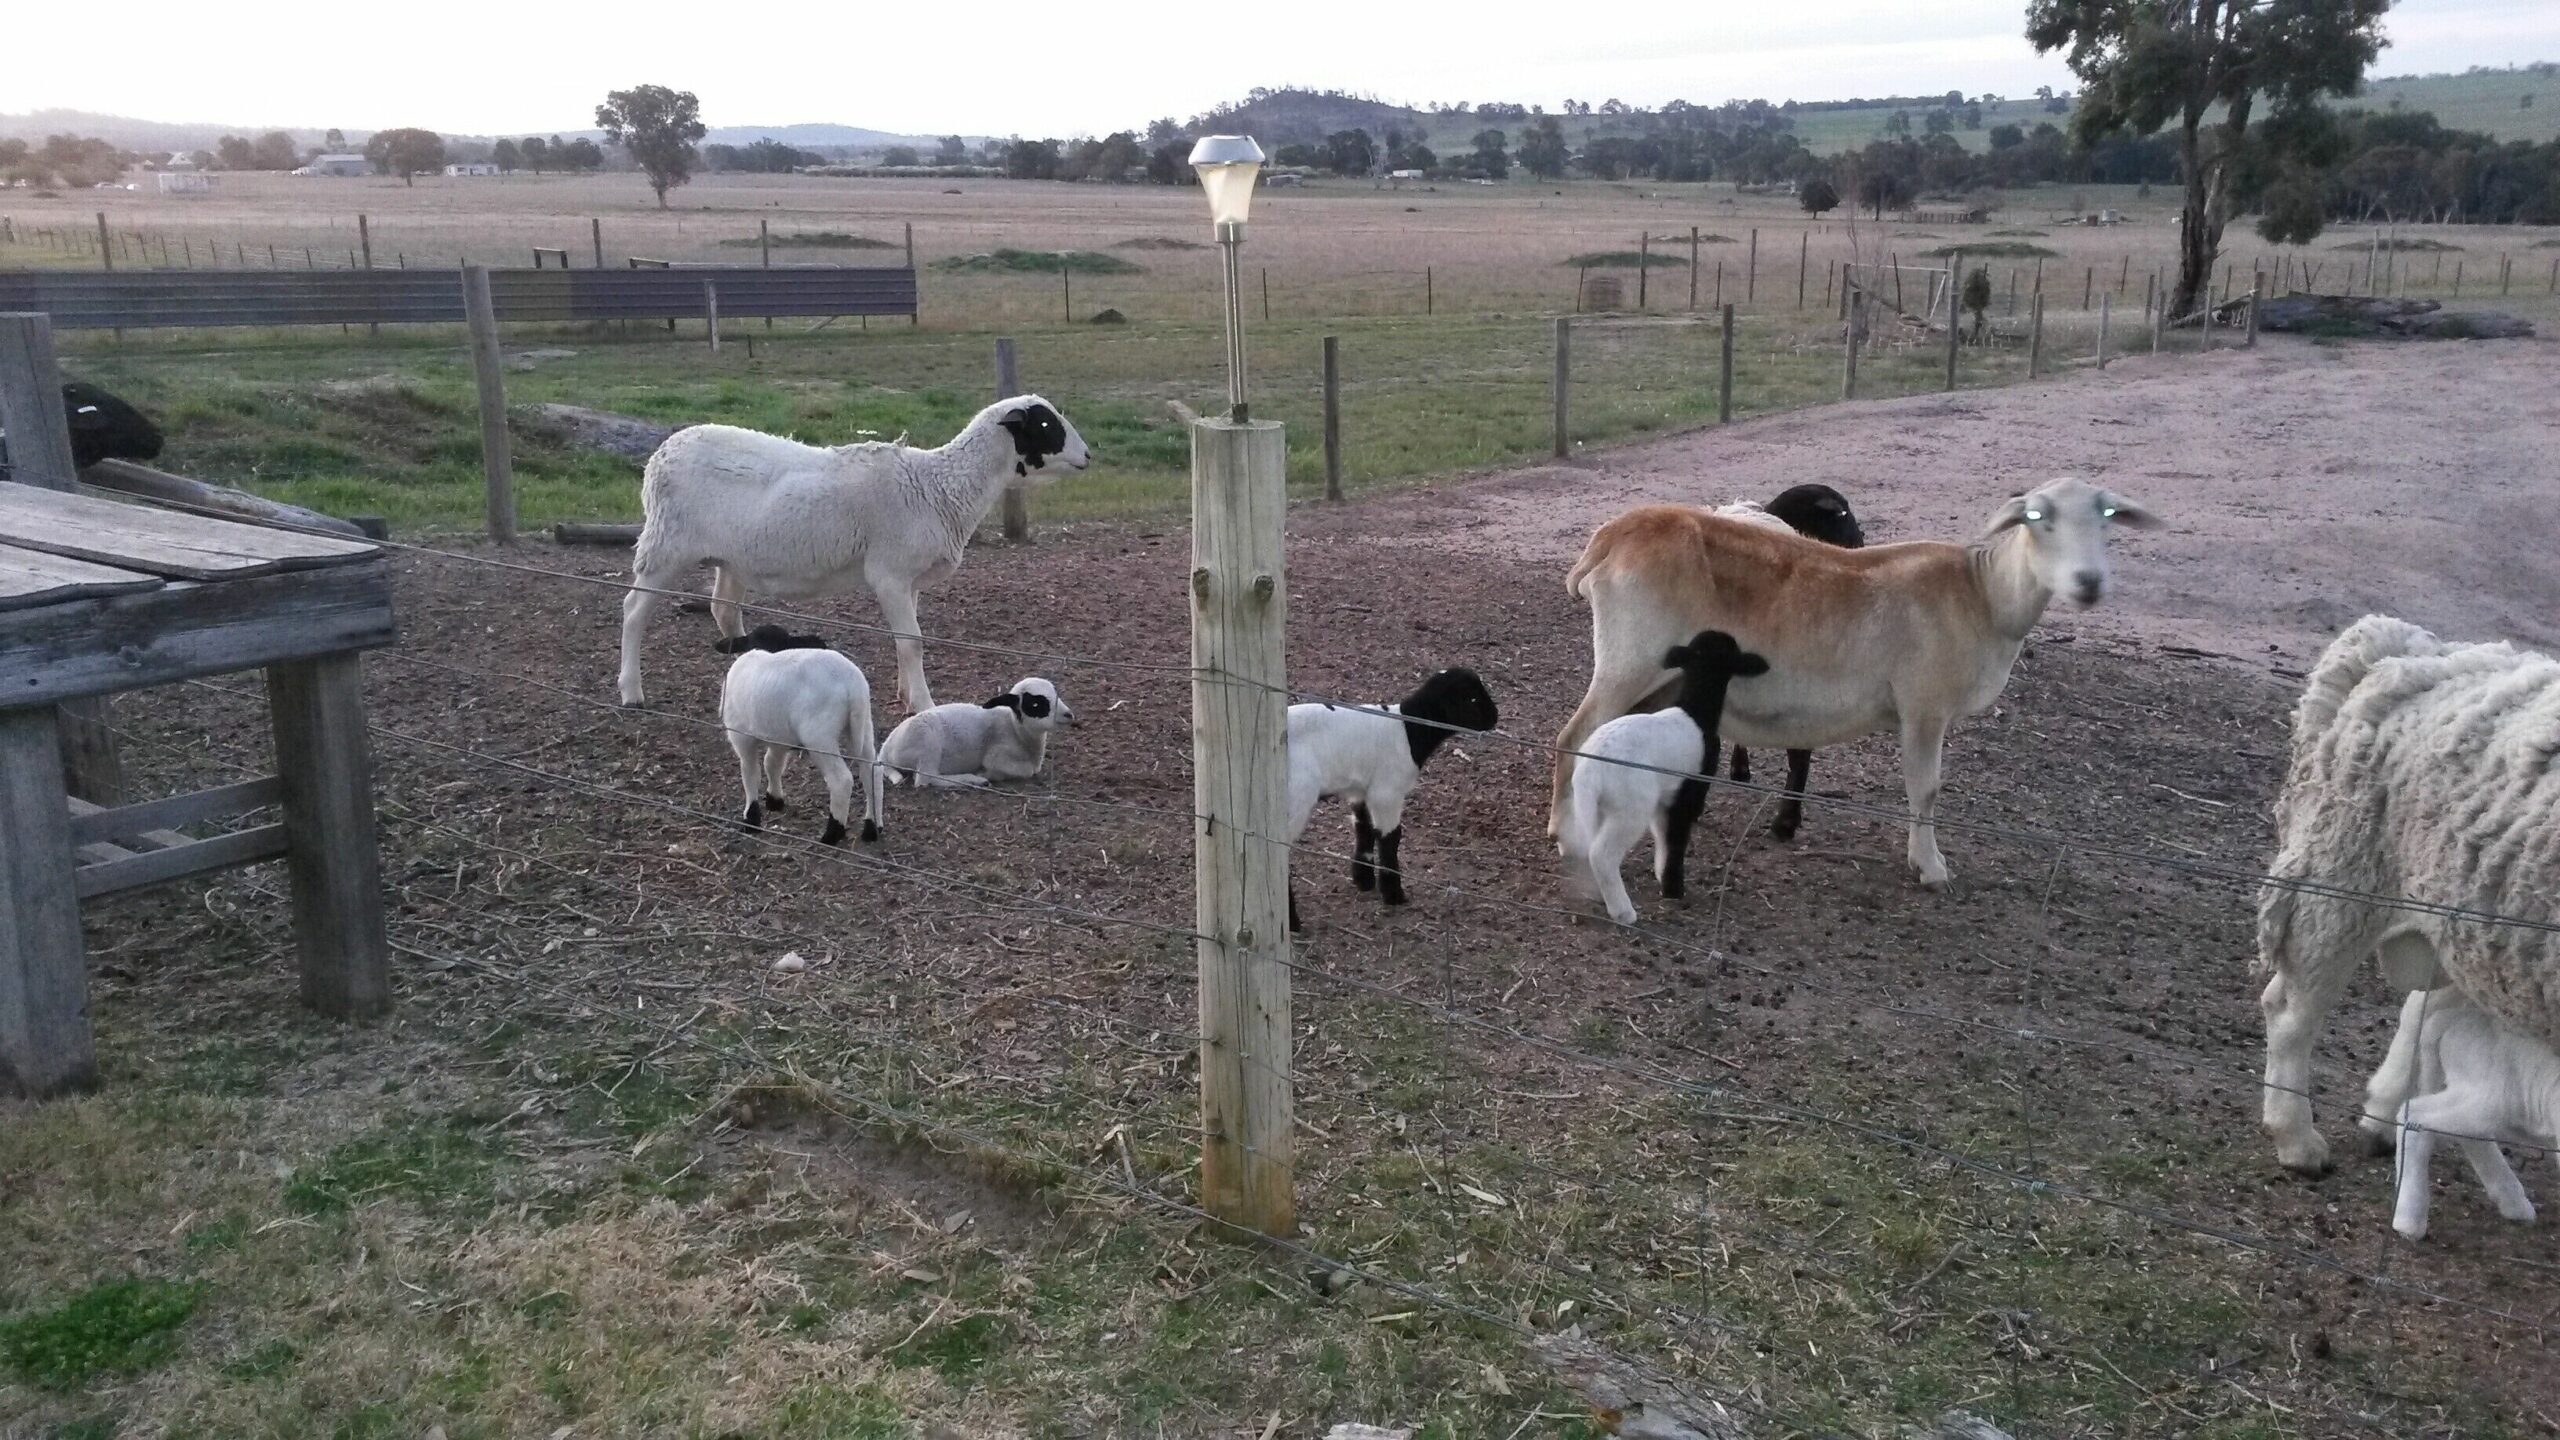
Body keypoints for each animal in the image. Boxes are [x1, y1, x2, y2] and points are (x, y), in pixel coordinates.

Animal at [629, 394, 1100, 707]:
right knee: (634, 610)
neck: (940, 486)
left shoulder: (911, 579)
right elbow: (913, 642)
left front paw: (906, 694)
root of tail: (662, 452)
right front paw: (924, 706)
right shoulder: (889, 574)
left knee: (723, 610)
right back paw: (631, 691)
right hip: (666, 544)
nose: (1088, 456)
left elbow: (905, 641)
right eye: (1045, 425)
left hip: (732, 559)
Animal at [716, 620, 885, 840]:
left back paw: (832, 834)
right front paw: (774, 800)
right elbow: (772, 763)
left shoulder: (741, 737)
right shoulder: (779, 737)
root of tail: (852, 685)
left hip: (819, 735)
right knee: (872, 772)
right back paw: (872, 828)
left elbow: (750, 773)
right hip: (862, 724)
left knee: (841, 780)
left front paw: (751, 819)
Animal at [880, 676, 1070, 784]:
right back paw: (973, 780)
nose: (1069, 715)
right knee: (925, 779)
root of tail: (885, 750)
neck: (1015, 729)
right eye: (1035, 704)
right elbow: (1027, 770)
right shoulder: (996, 756)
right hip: (927, 742)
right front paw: (987, 773)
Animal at [1546, 627, 1771, 917]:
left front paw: (1662, 874)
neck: (1695, 711)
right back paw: (1623, 912)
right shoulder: (1690, 787)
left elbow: (1662, 834)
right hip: (1630, 806)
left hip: (1594, 806)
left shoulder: (1666, 794)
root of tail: (1590, 772)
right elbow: (1677, 835)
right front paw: (1673, 887)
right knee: (1602, 853)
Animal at [2263, 609, 2560, 1173]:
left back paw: (2380, 1114)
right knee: (2291, 1011)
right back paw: (2296, 1139)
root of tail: (2407, 648)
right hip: (2341, 881)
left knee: (2426, 1008)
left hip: (2474, 920)